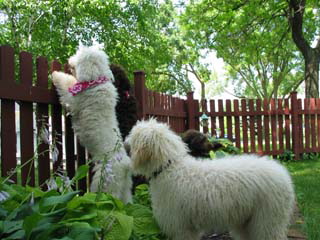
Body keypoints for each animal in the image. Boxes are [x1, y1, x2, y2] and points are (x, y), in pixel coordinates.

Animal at [52, 45, 132, 202]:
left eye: (79, 56)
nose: (69, 60)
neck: (96, 82)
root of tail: (126, 165)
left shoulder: (72, 99)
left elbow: (66, 83)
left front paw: (55, 74)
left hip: (104, 184)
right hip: (125, 190)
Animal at [125, 118, 296, 240]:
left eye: (133, 136)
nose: (124, 144)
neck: (170, 167)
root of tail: (282, 173)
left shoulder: (182, 228)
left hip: (268, 220)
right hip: (247, 222)